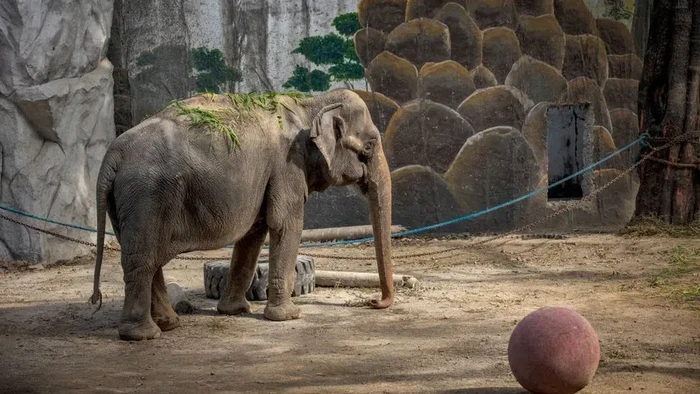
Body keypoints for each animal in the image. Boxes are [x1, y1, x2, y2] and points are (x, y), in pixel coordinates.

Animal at [89, 88, 394, 338]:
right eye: (369, 145)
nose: (373, 302)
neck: (310, 102)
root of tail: (113, 154)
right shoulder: (287, 165)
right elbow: (286, 225)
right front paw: (288, 317)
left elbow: (253, 235)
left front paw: (235, 311)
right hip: (147, 196)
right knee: (142, 261)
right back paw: (144, 335)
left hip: (128, 202)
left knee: (146, 257)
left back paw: (169, 324)